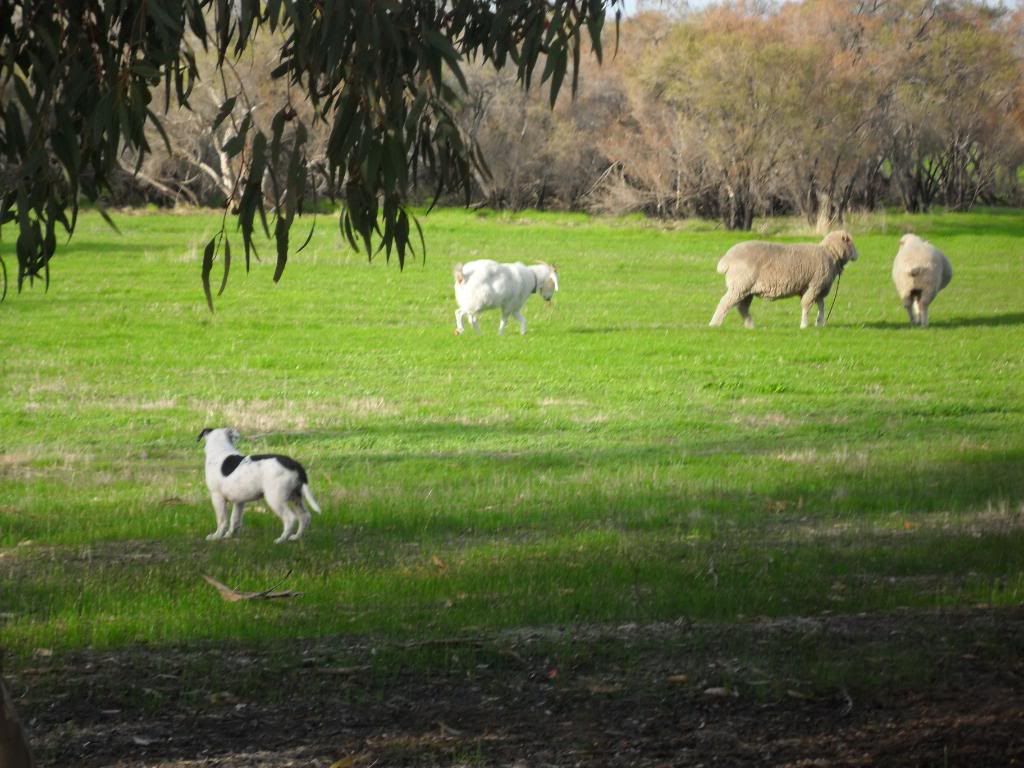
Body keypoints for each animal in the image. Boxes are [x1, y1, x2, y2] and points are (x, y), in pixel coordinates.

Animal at [708, 230, 860, 329]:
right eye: (851, 243)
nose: (857, 255)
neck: (830, 253)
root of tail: (726, 259)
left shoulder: (815, 288)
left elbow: (821, 305)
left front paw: (819, 322)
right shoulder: (815, 285)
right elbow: (807, 305)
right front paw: (804, 325)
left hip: (746, 289)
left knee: (742, 307)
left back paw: (750, 325)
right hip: (740, 285)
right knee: (725, 303)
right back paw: (714, 324)